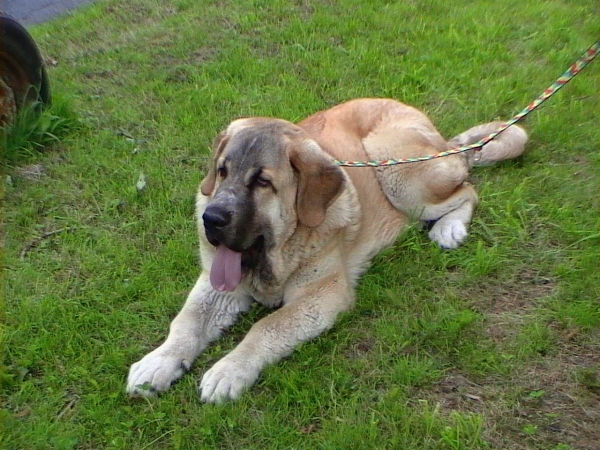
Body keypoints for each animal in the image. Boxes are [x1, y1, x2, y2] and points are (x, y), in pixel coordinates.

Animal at [125, 97, 524, 400]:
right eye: (222, 172)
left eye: (262, 182)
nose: (212, 219)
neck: (278, 257)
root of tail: (441, 139)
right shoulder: (216, 285)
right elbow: (187, 322)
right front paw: (159, 361)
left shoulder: (323, 294)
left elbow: (267, 327)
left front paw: (229, 370)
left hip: (397, 170)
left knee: (468, 190)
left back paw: (449, 228)